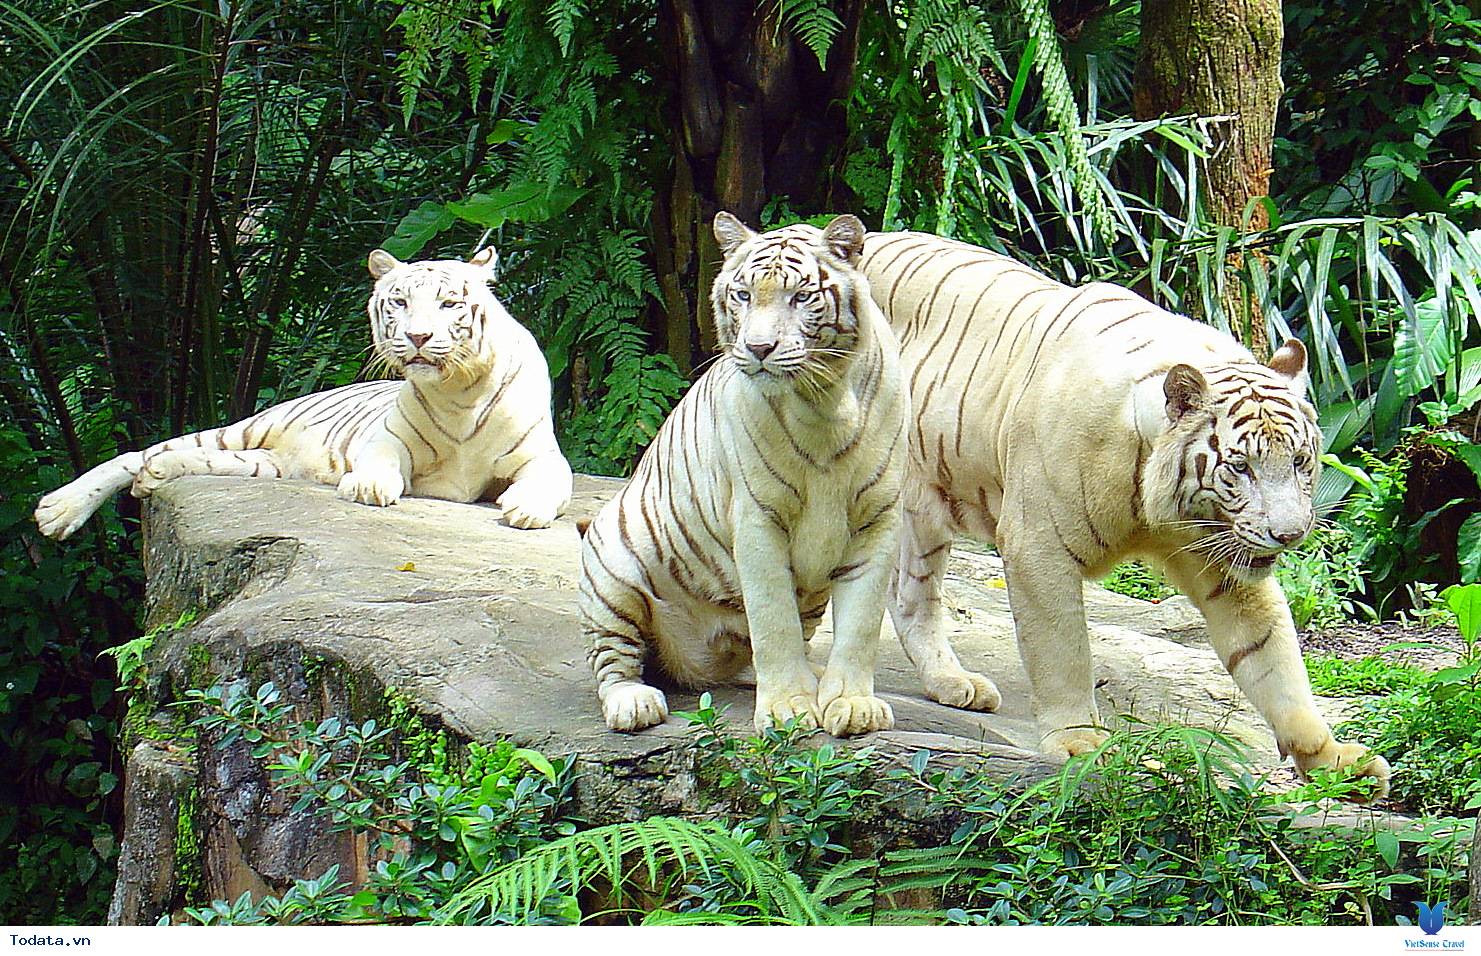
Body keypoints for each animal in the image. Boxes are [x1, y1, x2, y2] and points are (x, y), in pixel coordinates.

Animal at [30, 247, 571, 538]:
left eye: (449, 304)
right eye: (399, 302)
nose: (418, 337)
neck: (458, 392)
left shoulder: (542, 454)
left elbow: (552, 481)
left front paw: (526, 508)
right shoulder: (388, 439)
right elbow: (379, 462)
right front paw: (369, 486)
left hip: (263, 463)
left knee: (180, 461)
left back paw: (155, 476)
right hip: (241, 431)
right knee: (136, 454)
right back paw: (58, 511)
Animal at [580, 213, 906, 736]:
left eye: (801, 297)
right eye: (743, 295)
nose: (758, 347)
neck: (823, 403)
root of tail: (695, 665)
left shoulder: (878, 519)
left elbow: (860, 623)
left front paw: (852, 704)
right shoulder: (758, 519)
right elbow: (773, 620)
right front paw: (790, 708)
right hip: (612, 566)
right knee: (614, 660)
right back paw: (634, 702)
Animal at [864, 232, 1392, 799]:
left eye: (1298, 461)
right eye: (1241, 467)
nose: (1289, 534)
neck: (1159, 506)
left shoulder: (1225, 563)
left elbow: (1274, 659)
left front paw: (1334, 759)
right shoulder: (1038, 547)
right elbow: (1063, 650)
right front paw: (1079, 742)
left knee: (909, 594)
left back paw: (953, 683)